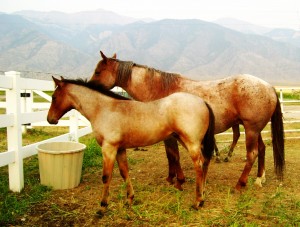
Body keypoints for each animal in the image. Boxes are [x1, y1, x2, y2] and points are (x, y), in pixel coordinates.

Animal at [47, 77, 216, 215]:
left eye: (54, 97)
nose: (50, 119)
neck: (104, 109)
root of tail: (202, 102)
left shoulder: (108, 148)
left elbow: (106, 176)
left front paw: (102, 206)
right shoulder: (120, 149)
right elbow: (124, 172)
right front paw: (129, 200)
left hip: (191, 142)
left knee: (199, 166)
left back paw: (198, 201)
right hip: (186, 141)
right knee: (204, 163)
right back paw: (202, 195)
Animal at [88, 51, 284, 192]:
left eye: (98, 71)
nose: (88, 87)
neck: (159, 89)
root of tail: (268, 87)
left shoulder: (170, 136)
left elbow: (173, 155)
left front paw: (178, 181)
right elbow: (170, 156)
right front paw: (171, 178)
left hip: (250, 129)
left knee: (252, 154)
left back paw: (240, 184)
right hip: (254, 129)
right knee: (262, 149)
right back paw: (259, 179)